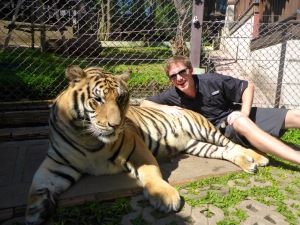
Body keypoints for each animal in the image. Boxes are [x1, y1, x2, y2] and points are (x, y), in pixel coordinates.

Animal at [26, 64, 270, 223]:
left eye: (121, 99)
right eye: (97, 99)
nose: (116, 125)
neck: (88, 137)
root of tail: (190, 109)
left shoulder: (135, 147)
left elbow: (151, 172)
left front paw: (164, 197)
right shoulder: (57, 163)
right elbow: (37, 186)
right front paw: (35, 210)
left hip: (204, 130)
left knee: (232, 144)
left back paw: (259, 158)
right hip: (197, 145)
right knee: (225, 151)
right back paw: (248, 163)